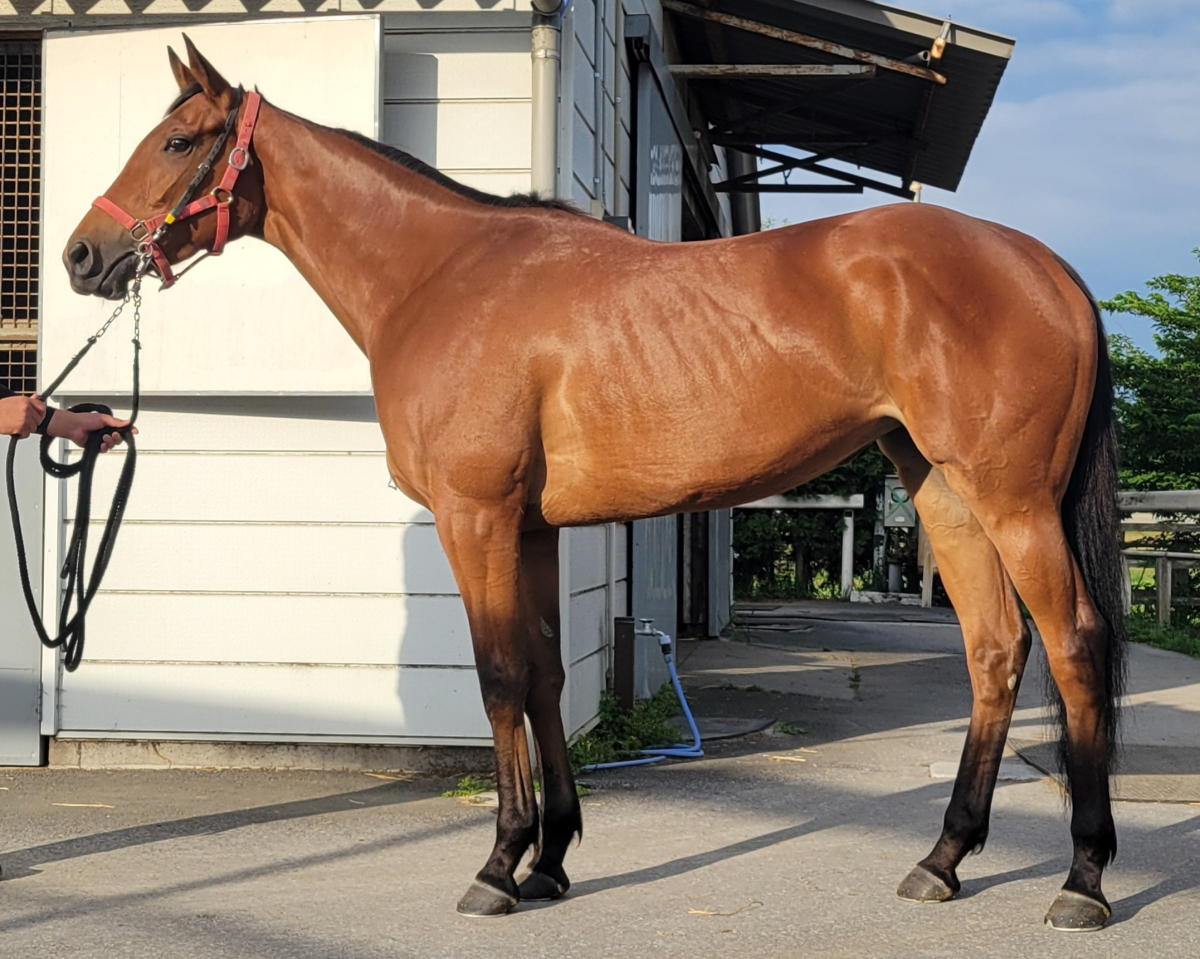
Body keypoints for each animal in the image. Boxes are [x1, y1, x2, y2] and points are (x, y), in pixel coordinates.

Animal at [60, 38, 1125, 931]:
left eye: (178, 140)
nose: (80, 255)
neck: (438, 277)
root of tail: (1049, 264)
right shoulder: (531, 529)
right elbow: (542, 672)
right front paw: (550, 860)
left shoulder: (475, 518)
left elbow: (497, 677)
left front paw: (498, 865)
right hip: (944, 492)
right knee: (995, 650)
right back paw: (942, 857)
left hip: (1013, 500)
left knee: (1073, 645)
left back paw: (1082, 879)